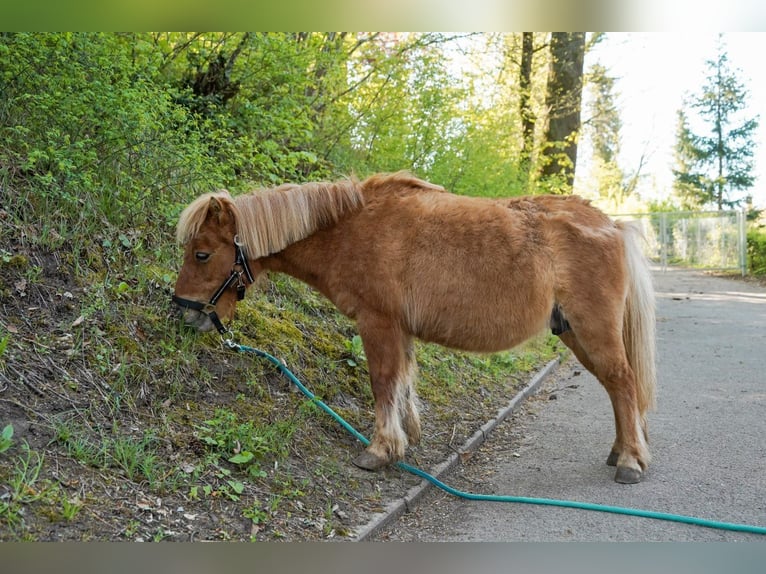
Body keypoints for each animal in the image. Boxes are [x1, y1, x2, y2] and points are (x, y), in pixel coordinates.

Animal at [176, 172, 660, 486]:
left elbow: (382, 381)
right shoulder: (400, 329)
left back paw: (630, 461)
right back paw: (623, 450)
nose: (185, 313)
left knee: (622, 382)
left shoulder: (378, 323)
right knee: (617, 387)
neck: (351, 229)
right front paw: (407, 435)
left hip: (593, 330)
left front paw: (381, 450)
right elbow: (403, 381)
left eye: (202, 254)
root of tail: (611, 224)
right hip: (575, 334)